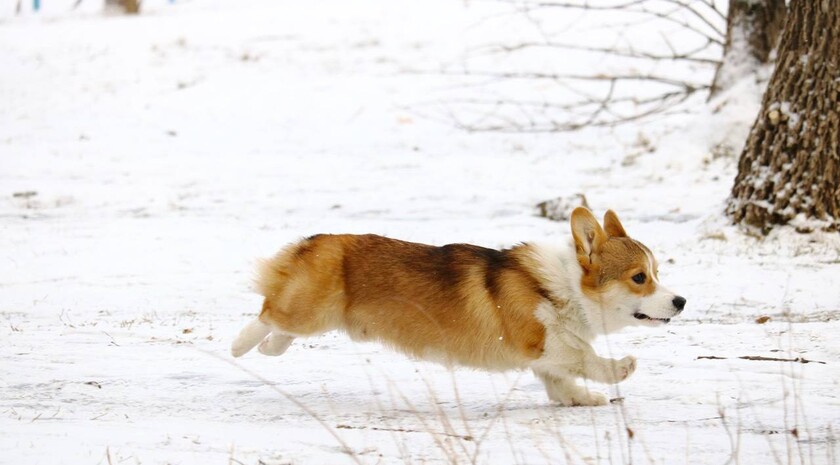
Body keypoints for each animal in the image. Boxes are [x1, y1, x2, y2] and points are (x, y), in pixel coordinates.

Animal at [230, 208, 684, 404]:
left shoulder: (543, 358)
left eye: (656, 272)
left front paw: (583, 398)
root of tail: (315, 240)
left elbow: (559, 382)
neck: (564, 287)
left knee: (278, 330)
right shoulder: (538, 337)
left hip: (312, 315)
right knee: (267, 312)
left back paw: (269, 348)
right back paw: (240, 345)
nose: (681, 301)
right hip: (311, 311)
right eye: (639, 278)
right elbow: (582, 354)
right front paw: (618, 369)